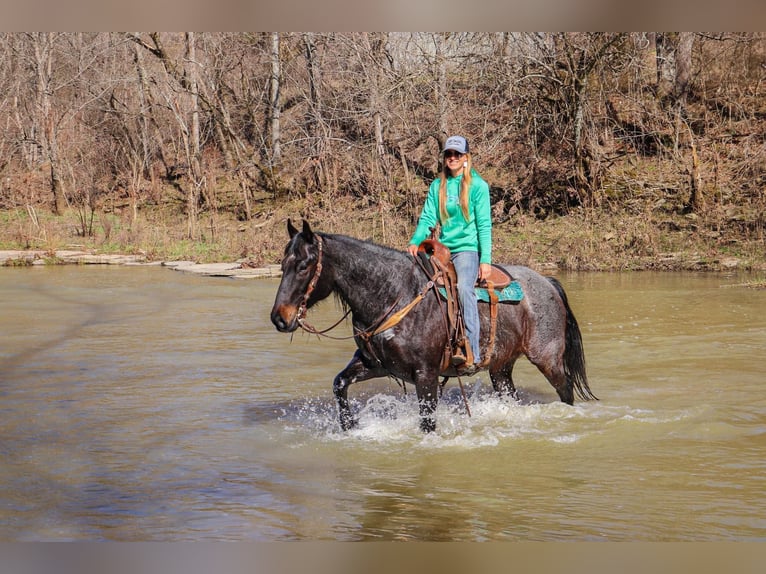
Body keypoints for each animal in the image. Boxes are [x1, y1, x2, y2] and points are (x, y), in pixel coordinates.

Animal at [272, 220, 600, 432]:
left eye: (303, 265)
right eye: (282, 264)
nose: (279, 318)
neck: (392, 293)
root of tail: (547, 282)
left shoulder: (425, 374)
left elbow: (427, 422)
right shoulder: (377, 364)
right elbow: (339, 384)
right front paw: (350, 425)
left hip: (548, 359)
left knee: (565, 389)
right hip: (501, 367)